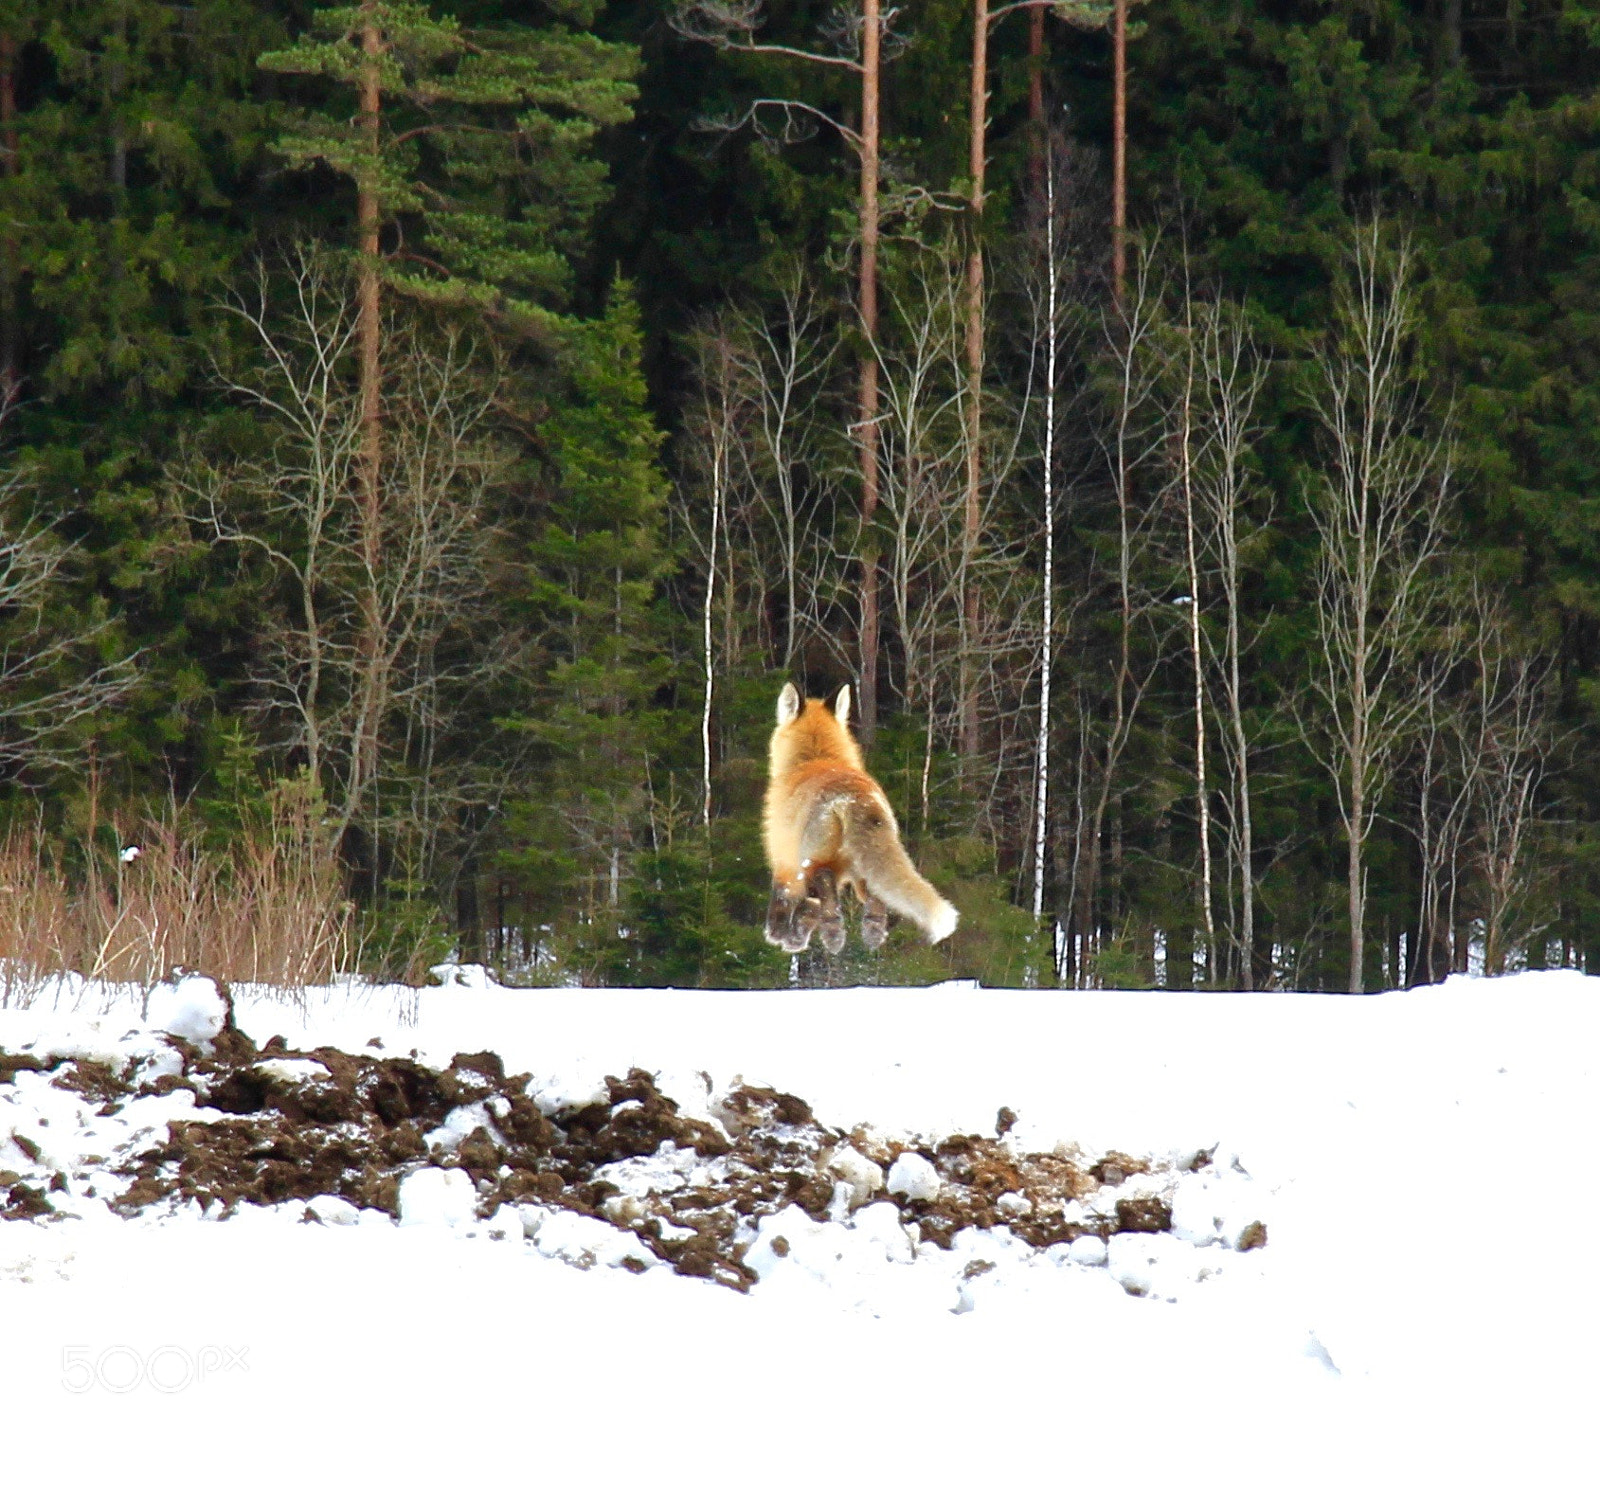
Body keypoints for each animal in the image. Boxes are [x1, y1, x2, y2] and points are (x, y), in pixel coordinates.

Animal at [763, 682, 959, 954]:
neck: (817, 757)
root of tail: (854, 797)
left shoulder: (783, 857)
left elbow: (782, 896)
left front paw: (778, 933)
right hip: (864, 867)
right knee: (872, 897)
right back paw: (871, 933)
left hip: (814, 859)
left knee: (824, 892)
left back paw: (833, 934)